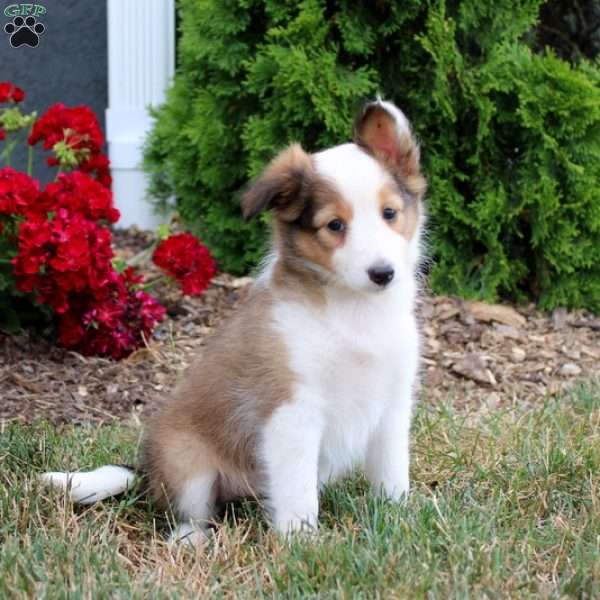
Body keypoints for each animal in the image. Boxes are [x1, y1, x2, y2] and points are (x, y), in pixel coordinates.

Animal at [42, 97, 426, 544]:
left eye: (389, 213)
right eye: (334, 225)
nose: (383, 274)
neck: (354, 312)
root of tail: (146, 474)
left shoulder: (393, 403)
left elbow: (391, 472)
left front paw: (398, 518)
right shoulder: (291, 412)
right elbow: (297, 494)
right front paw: (301, 544)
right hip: (187, 460)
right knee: (189, 513)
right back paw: (191, 541)